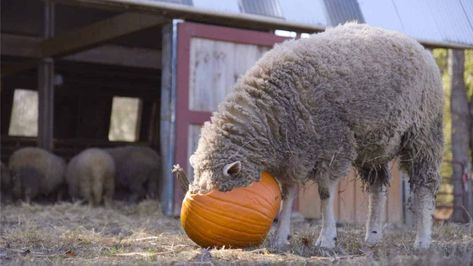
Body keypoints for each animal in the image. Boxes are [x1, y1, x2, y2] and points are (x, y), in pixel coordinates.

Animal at [188, 22, 442, 249]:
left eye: (221, 192)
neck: (270, 112)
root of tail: (418, 46)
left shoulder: (332, 145)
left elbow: (325, 194)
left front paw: (327, 238)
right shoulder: (292, 157)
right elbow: (287, 196)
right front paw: (281, 238)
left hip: (423, 134)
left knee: (424, 186)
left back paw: (422, 240)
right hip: (374, 145)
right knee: (377, 188)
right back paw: (373, 236)